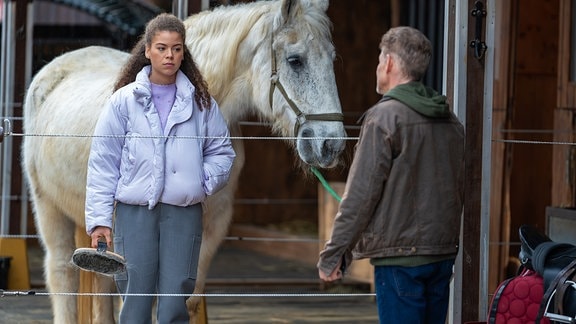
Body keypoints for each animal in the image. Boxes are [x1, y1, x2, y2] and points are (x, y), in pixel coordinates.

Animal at [21, 1, 346, 322]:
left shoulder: (210, 230)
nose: (331, 143)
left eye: (332, 59)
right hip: (49, 208)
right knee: (61, 273)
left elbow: (182, 299)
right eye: (295, 60)